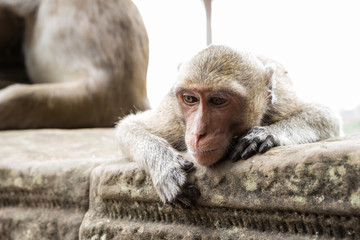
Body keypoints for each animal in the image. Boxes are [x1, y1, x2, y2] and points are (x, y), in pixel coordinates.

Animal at [116, 46, 342, 207]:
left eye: (217, 100)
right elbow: (129, 127)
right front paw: (165, 166)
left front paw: (263, 134)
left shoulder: (281, 103)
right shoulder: (173, 116)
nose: (197, 133)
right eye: (190, 99)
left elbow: (326, 116)